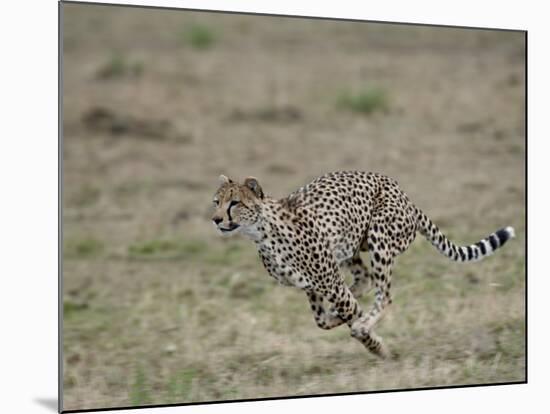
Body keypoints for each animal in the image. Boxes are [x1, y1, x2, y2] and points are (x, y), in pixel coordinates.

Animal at [211, 170, 516, 358]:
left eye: (234, 203)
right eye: (216, 201)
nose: (216, 219)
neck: (262, 233)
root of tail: (403, 193)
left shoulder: (329, 281)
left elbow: (350, 314)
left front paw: (378, 347)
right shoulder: (311, 285)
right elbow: (322, 320)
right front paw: (346, 320)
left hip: (379, 237)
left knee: (385, 294)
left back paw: (364, 322)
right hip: (352, 247)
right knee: (365, 280)